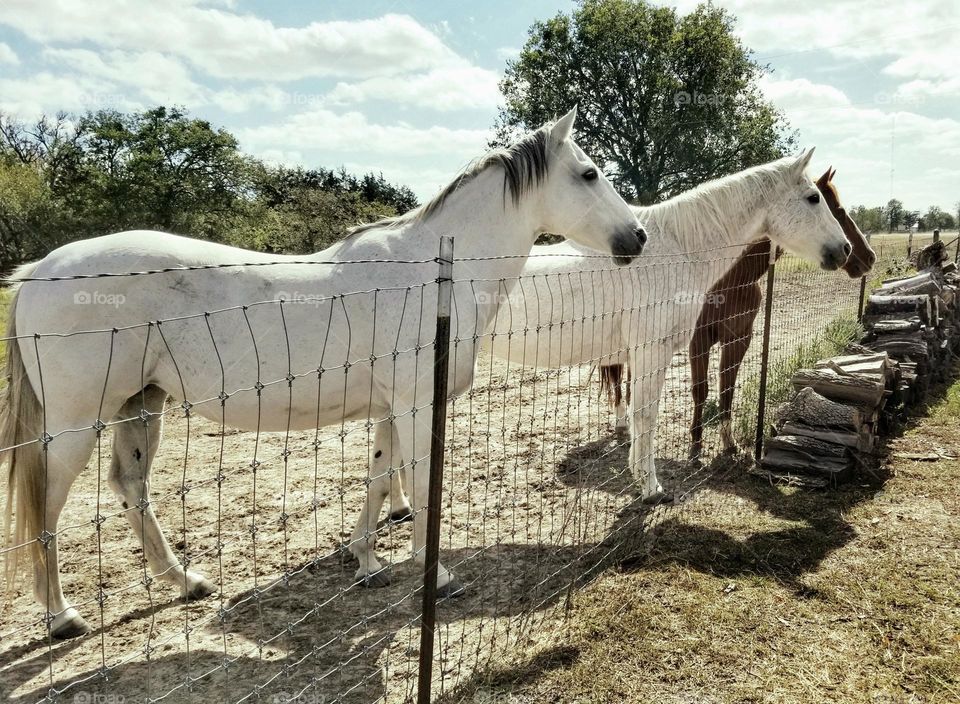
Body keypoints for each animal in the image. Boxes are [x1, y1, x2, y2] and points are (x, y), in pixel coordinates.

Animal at [1, 108, 644, 640]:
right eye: (589, 174)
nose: (637, 238)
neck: (435, 271)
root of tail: (37, 271)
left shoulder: (391, 408)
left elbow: (381, 479)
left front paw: (367, 562)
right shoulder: (418, 406)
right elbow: (420, 487)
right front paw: (434, 574)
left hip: (142, 404)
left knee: (130, 488)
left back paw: (185, 581)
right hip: (74, 424)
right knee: (47, 507)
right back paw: (61, 617)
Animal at [366, 148, 848, 516]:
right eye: (812, 198)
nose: (844, 251)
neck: (676, 250)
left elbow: (641, 411)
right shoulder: (651, 351)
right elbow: (645, 415)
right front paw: (650, 488)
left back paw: (398, 509)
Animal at [600, 166, 876, 462]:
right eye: (836, 209)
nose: (866, 256)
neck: (730, 278)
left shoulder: (738, 339)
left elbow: (727, 389)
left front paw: (728, 442)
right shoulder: (699, 339)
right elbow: (700, 390)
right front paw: (695, 445)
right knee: (618, 379)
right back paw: (622, 423)